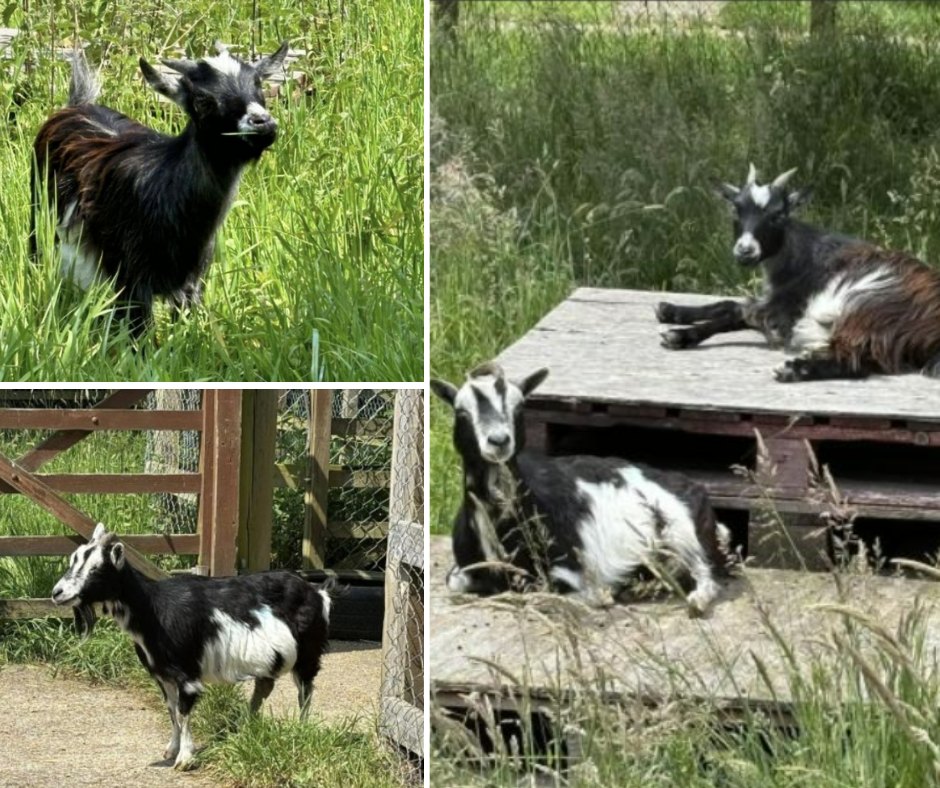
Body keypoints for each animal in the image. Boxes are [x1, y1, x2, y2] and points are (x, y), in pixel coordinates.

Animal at [31, 42, 288, 338]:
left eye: (258, 84)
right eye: (202, 100)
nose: (262, 123)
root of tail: (74, 106)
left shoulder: (192, 283)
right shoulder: (132, 279)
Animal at [51, 523, 331, 770]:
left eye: (96, 569)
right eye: (73, 559)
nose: (57, 593)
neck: (154, 609)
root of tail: (317, 593)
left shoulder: (187, 675)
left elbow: (183, 713)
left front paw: (185, 759)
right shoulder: (162, 675)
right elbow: (171, 710)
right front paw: (171, 749)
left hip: (308, 653)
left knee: (305, 691)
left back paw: (300, 729)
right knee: (265, 685)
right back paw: (245, 728)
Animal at [431, 363, 731, 616]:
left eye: (519, 408)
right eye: (461, 412)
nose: (498, 441)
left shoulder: (568, 569)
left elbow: (555, 592)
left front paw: (606, 592)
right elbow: (454, 581)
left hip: (683, 530)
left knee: (706, 573)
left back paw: (693, 600)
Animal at [656, 164, 940, 382]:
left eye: (778, 215)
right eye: (736, 209)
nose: (745, 250)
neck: (800, 255)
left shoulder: (785, 308)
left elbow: (737, 312)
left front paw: (680, 335)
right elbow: (728, 305)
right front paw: (671, 310)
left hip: (869, 304)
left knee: (854, 360)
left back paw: (794, 369)